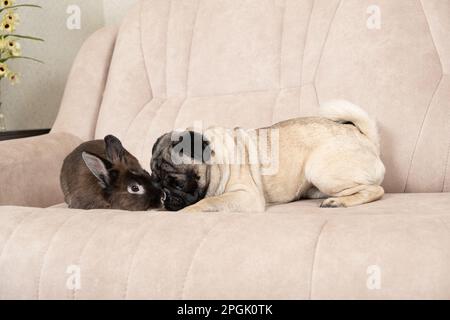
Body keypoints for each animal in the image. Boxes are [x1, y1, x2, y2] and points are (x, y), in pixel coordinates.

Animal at [150, 100, 384, 212]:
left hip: (321, 172)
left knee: (375, 190)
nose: (162, 195)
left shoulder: (245, 196)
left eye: (178, 183)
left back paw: (338, 202)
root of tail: (364, 136)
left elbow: (206, 202)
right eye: (155, 181)